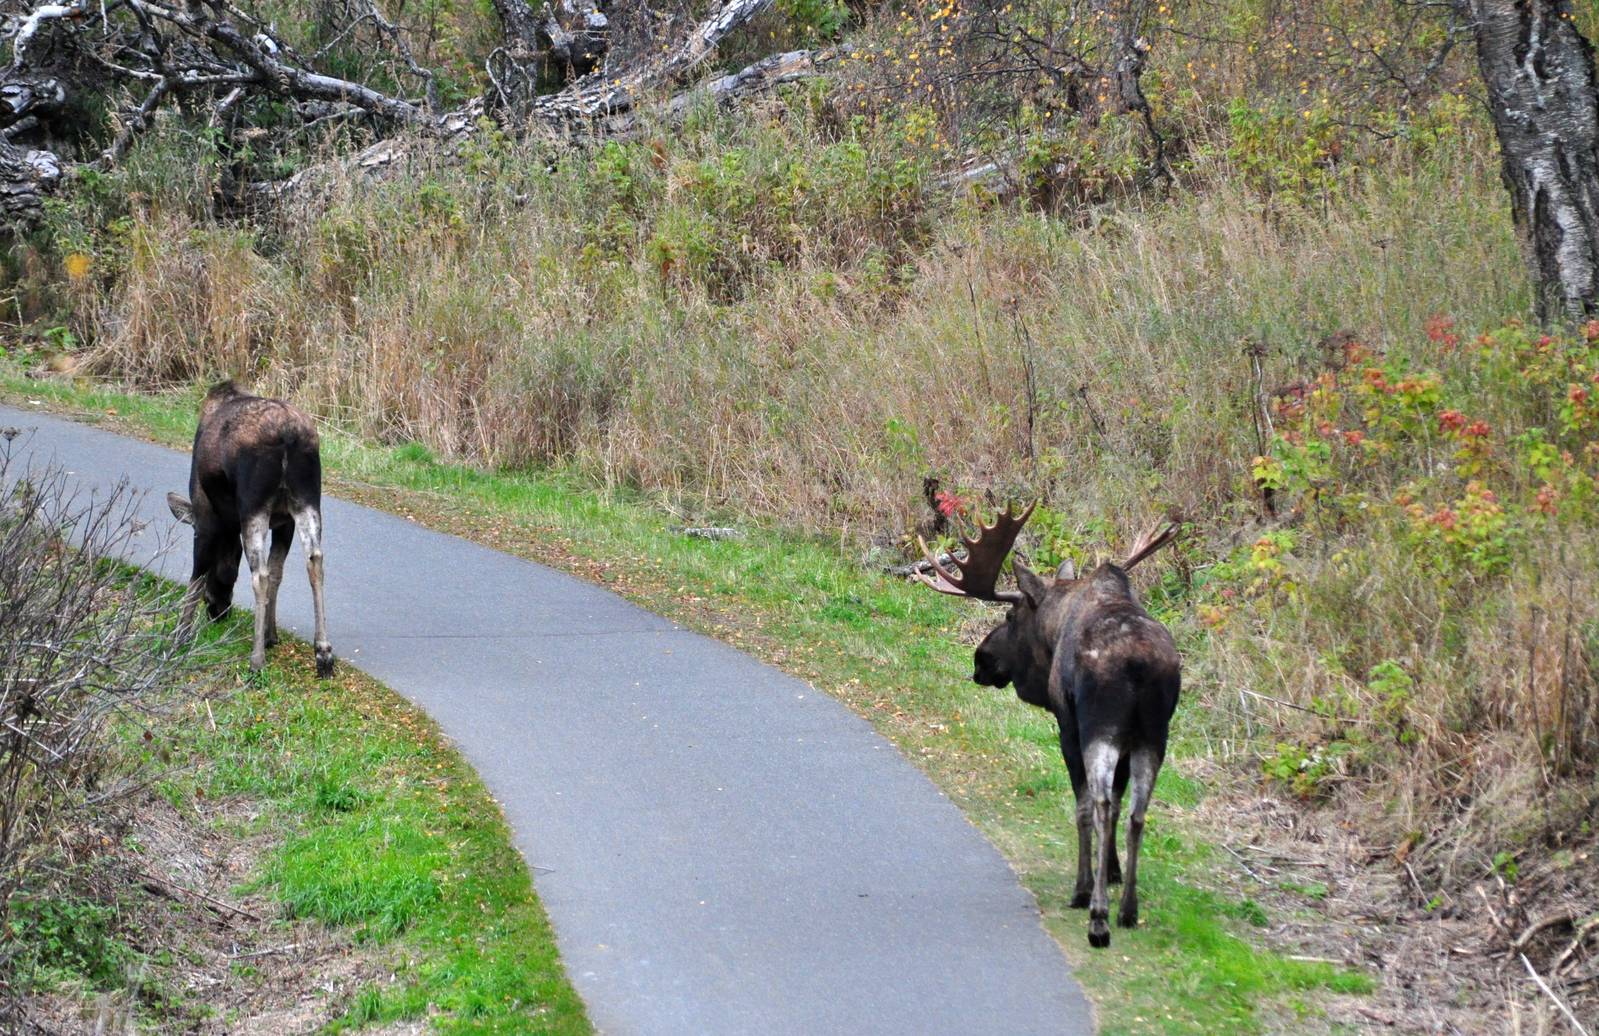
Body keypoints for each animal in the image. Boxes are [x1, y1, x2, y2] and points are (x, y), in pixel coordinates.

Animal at [166, 382, 333, 678]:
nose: (219, 612)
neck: (227, 528)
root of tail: (287, 435)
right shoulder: (284, 522)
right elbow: (278, 572)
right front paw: (270, 634)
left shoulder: (205, 514)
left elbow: (198, 574)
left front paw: (180, 635)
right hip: (307, 500)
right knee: (314, 560)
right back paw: (323, 653)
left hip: (253, 507)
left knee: (260, 574)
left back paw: (256, 660)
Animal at [916, 503, 1179, 948]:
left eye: (1009, 614)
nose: (980, 659)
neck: (1055, 632)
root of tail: (1139, 665)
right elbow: (1120, 802)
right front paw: (1111, 872)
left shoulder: (1067, 723)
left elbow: (1084, 804)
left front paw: (1085, 887)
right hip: (1153, 737)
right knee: (1136, 812)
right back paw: (1128, 909)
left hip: (1099, 727)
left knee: (1100, 803)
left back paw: (1097, 915)